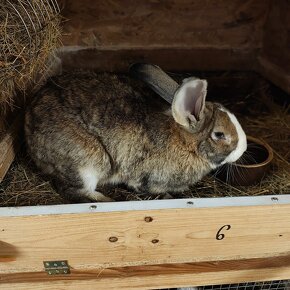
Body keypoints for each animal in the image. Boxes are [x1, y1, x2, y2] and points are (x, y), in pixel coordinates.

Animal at [25, 67, 247, 203]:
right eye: (219, 134)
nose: (244, 148)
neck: (185, 143)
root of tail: (28, 132)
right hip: (88, 163)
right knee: (75, 190)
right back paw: (108, 200)